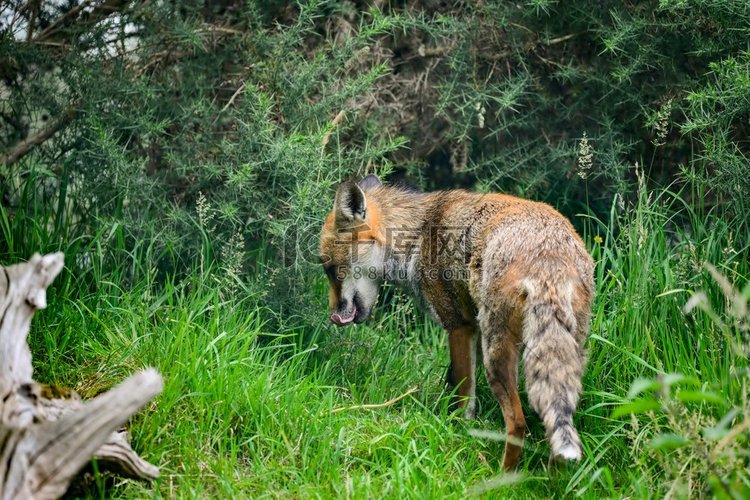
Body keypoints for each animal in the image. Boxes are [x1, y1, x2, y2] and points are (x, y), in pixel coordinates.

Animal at [320, 175, 596, 468]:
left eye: (331, 269)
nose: (333, 316)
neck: (418, 236)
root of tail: (549, 256)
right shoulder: (474, 329)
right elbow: (454, 382)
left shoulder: (458, 324)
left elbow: (464, 396)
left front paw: (461, 433)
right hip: (562, 352)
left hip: (496, 354)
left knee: (517, 422)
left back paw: (505, 475)